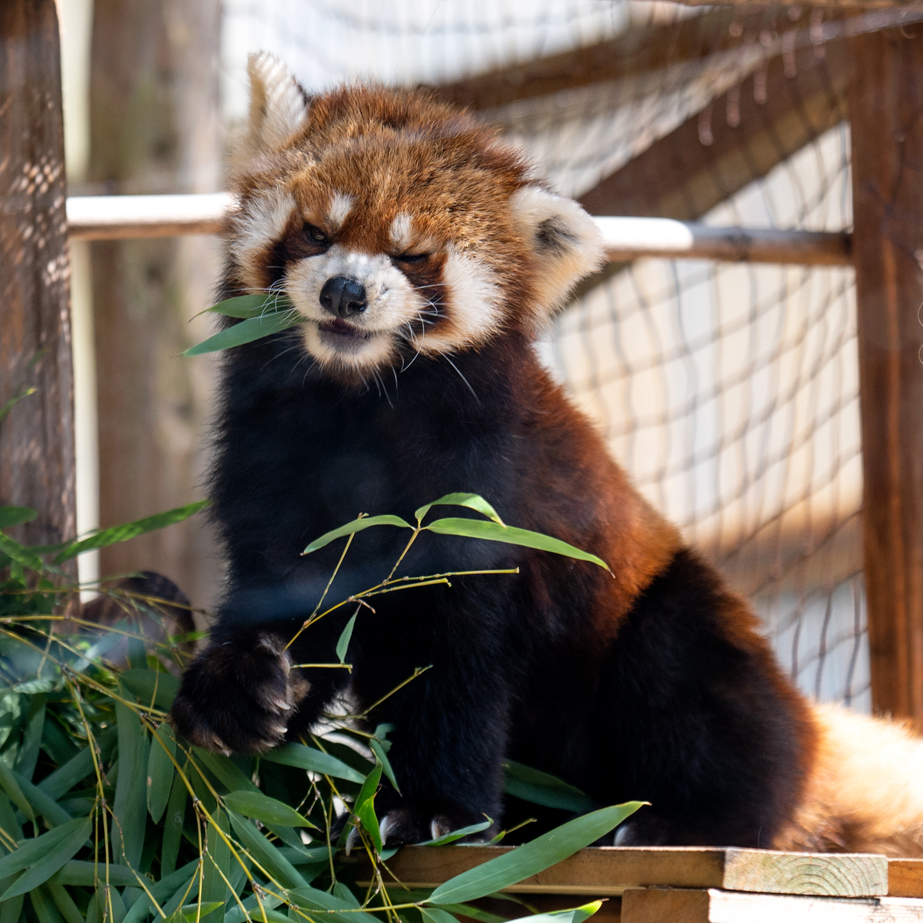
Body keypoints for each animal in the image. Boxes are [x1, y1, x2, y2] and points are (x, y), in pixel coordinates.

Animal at [170, 50, 923, 856]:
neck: (357, 402)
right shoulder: (270, 455)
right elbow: (289, 589)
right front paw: (241, 689)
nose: (345, 291)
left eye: (411, 255)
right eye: (315, 231)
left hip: (665, 620)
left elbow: (458, 661)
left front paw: (431, 810)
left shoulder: (478, 495)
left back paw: (674, 821)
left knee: (689, 692)